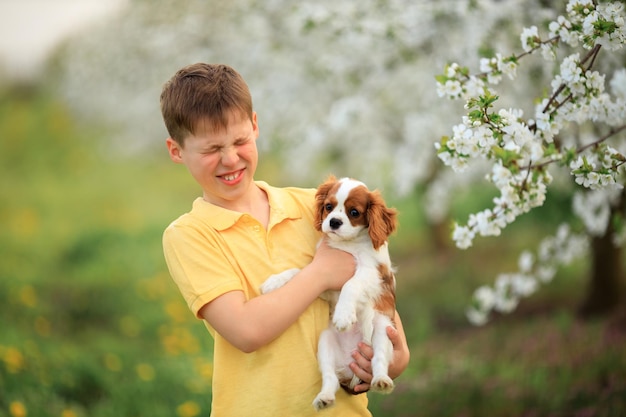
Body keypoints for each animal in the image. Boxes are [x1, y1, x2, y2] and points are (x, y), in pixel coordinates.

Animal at [260, 175, 398, 410]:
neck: (348, 244)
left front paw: (343, 315)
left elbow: (351, 284)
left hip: (382, 329)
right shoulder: (325, 285)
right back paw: (324, 398)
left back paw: (381, 381)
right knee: (330, 378)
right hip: (325, 342)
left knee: (378, 360)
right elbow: (300, 271)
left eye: (354, 212)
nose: (334, 222)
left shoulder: (373, 274)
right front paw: (275, 281)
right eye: (328, 207)